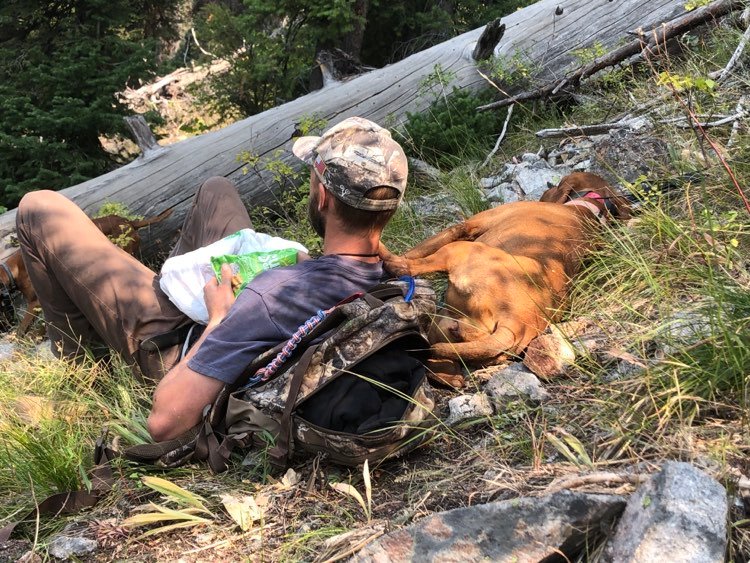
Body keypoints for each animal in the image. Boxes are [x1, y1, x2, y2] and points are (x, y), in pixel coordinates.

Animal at [378, 171, 632, 388]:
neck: (588, 209)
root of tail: (516, 323)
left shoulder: (465, 227)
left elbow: (420, 248)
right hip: (448, 322)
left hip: (460, 252)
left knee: (409, 266)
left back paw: (387, 258)